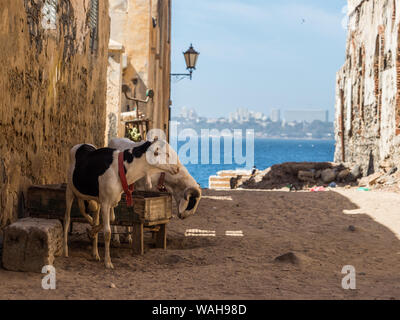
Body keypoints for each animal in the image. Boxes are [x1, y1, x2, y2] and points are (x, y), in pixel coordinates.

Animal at [64, 140, 180, 268]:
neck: (122, 169)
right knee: (67, 218)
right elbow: (107, 232)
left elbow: (112, 219)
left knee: (91, 216)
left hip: (92, 199)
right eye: (165, 154)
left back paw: (95, 253)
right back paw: (65, 251)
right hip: (69, 190)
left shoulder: (111, 201)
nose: (178, 168)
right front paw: (108, 262)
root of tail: (82, 145)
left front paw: (92, 232)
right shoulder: (105, 202)